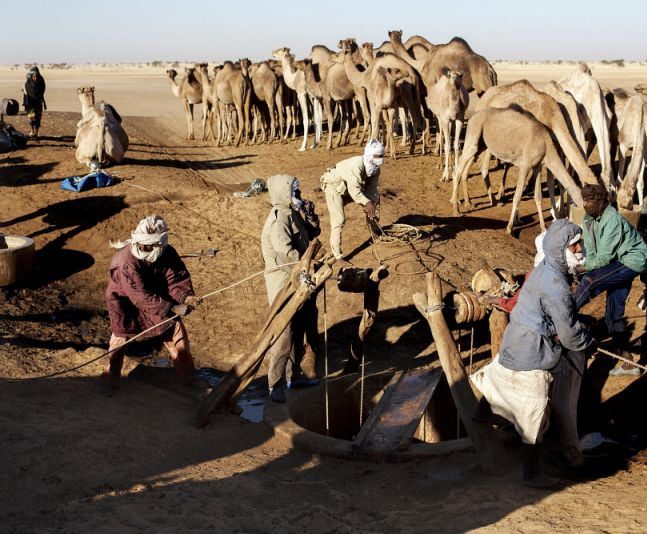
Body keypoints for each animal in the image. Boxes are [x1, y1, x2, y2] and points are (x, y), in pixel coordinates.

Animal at [451, 106, 584, 235]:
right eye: (583, 203)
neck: (546, 146)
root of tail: (472, 117)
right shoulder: (525, 165)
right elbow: (517, 196)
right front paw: (509, 228)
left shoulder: (537, 167)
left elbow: (538, 197)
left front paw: (543, 228)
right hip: (474, 135)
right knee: (457, 171)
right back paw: (456, 210)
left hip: (482, 145)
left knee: (466, 167)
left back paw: (469, 203)